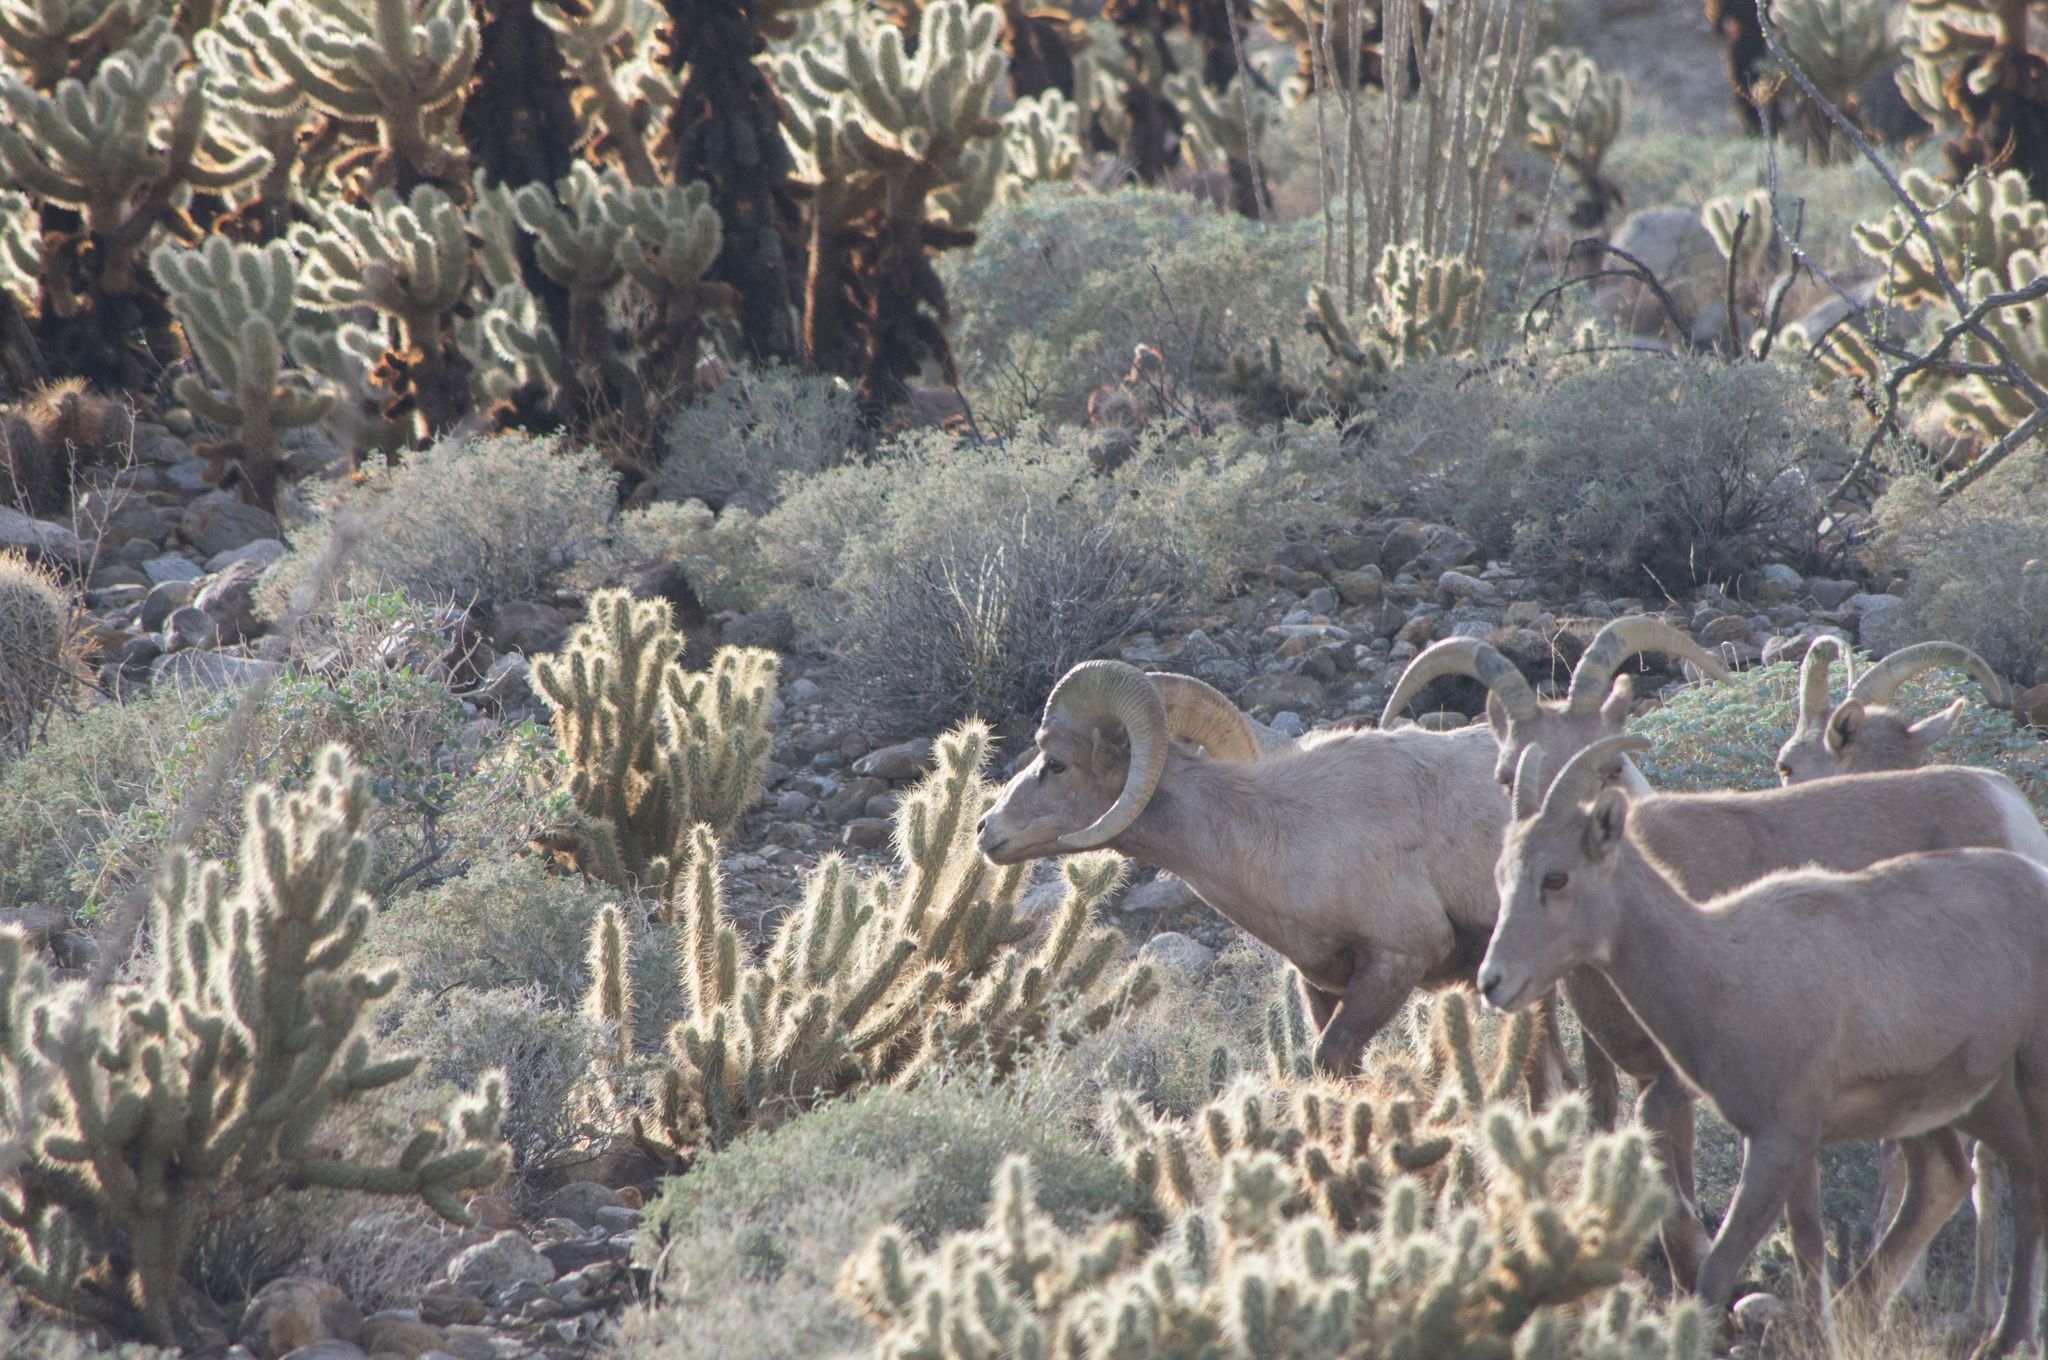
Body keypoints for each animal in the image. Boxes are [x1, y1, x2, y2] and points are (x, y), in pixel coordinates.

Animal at [1482, 737, 2048, 1351]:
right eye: (1501, 876)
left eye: (1555, 878)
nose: (1492, 982)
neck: (1720, 968)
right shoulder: (1797, 1146)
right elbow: (1807, 1248)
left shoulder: (1776, 1142)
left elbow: (1717, 1269)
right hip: (1962, 1104)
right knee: (1967, 1180)